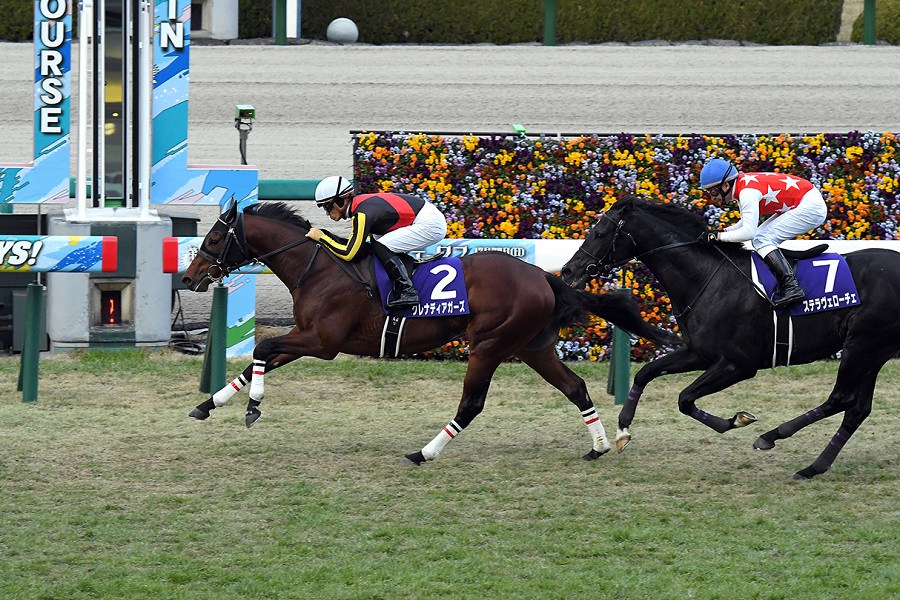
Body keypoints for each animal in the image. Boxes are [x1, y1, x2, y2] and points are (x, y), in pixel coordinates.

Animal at [179, 202, 680, 464]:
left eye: (214, 240)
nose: (189, 277)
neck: (318, 267)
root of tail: (542, 276)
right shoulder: (306, 335)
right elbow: (258, 359)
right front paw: (208, 405)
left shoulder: (323, 342)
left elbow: (264, 346)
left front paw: (253, 408)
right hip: (531, 347)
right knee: (575, 387)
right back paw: (599, 446)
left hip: (489, 344)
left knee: (472, 404)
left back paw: (424, 452)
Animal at [560, 195, 900, 480]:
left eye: (600, 233)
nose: (568, 271)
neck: (706, 278)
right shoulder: (699, 353)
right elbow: (646, 373)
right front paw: (622, 430)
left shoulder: (738, 364)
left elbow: (684, 399)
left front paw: (736, 420)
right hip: (874, 351)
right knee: (857, 409)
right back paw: (814, 466)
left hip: (861, 345)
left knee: (841, 399)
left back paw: (773, 438)